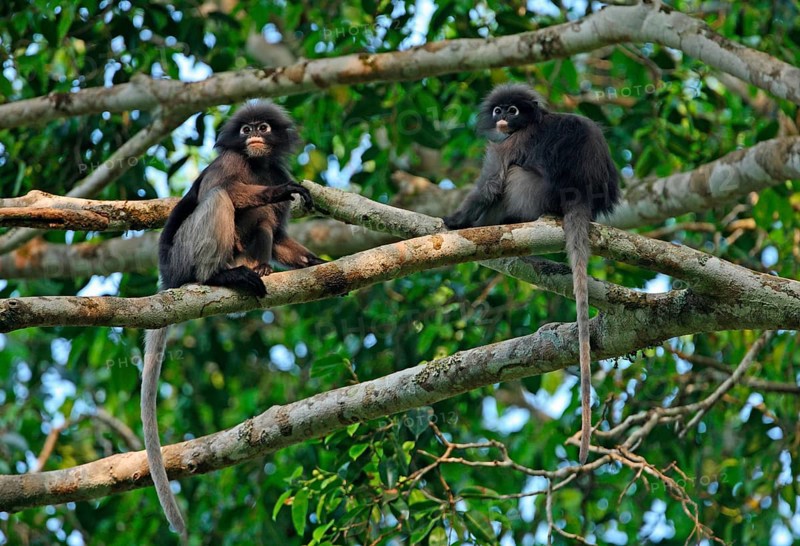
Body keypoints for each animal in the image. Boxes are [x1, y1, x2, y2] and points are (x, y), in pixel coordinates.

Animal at [142, 103, 326, 537]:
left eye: (264, 127)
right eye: (245, 130)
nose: (254, 135)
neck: (256, 164)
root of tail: (168, 277)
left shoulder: (272, 168)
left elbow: (279, 232)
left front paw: (315, 262)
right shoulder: (229, 161)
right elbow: (225, 188)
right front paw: (283, 191)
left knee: (263, 223)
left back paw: (258, 269)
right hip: (186, 255)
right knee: (219, 198)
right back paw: (218, 277)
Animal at [443, 84, 620, 464]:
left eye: (513, 110)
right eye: (498, 110)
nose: (503, 118)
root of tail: (578, 195)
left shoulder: (511, 144)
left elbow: (492, 182)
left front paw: (455, 221)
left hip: (530, 193)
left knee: (510, 179)